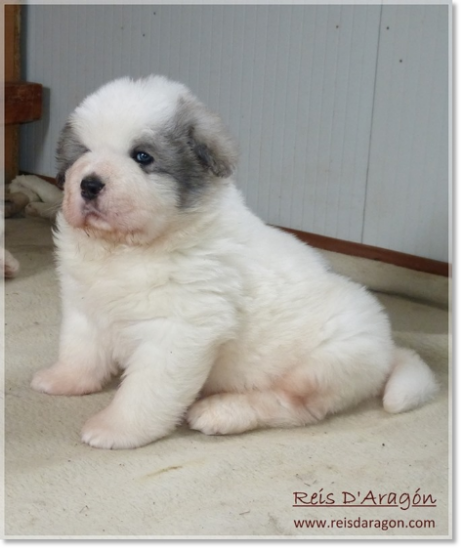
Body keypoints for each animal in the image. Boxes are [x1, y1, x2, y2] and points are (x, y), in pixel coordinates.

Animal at [31, 75, 438, 450]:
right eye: (83, 152)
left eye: (142, 157)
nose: (89, 184)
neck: (126, 249)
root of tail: (388, 348)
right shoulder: (85, 305)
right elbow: (80, 351)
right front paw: (61, 379)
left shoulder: (179, 330)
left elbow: (145, 390)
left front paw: (115, 429)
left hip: (321, 367)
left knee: (290, 407)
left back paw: (220, 413)